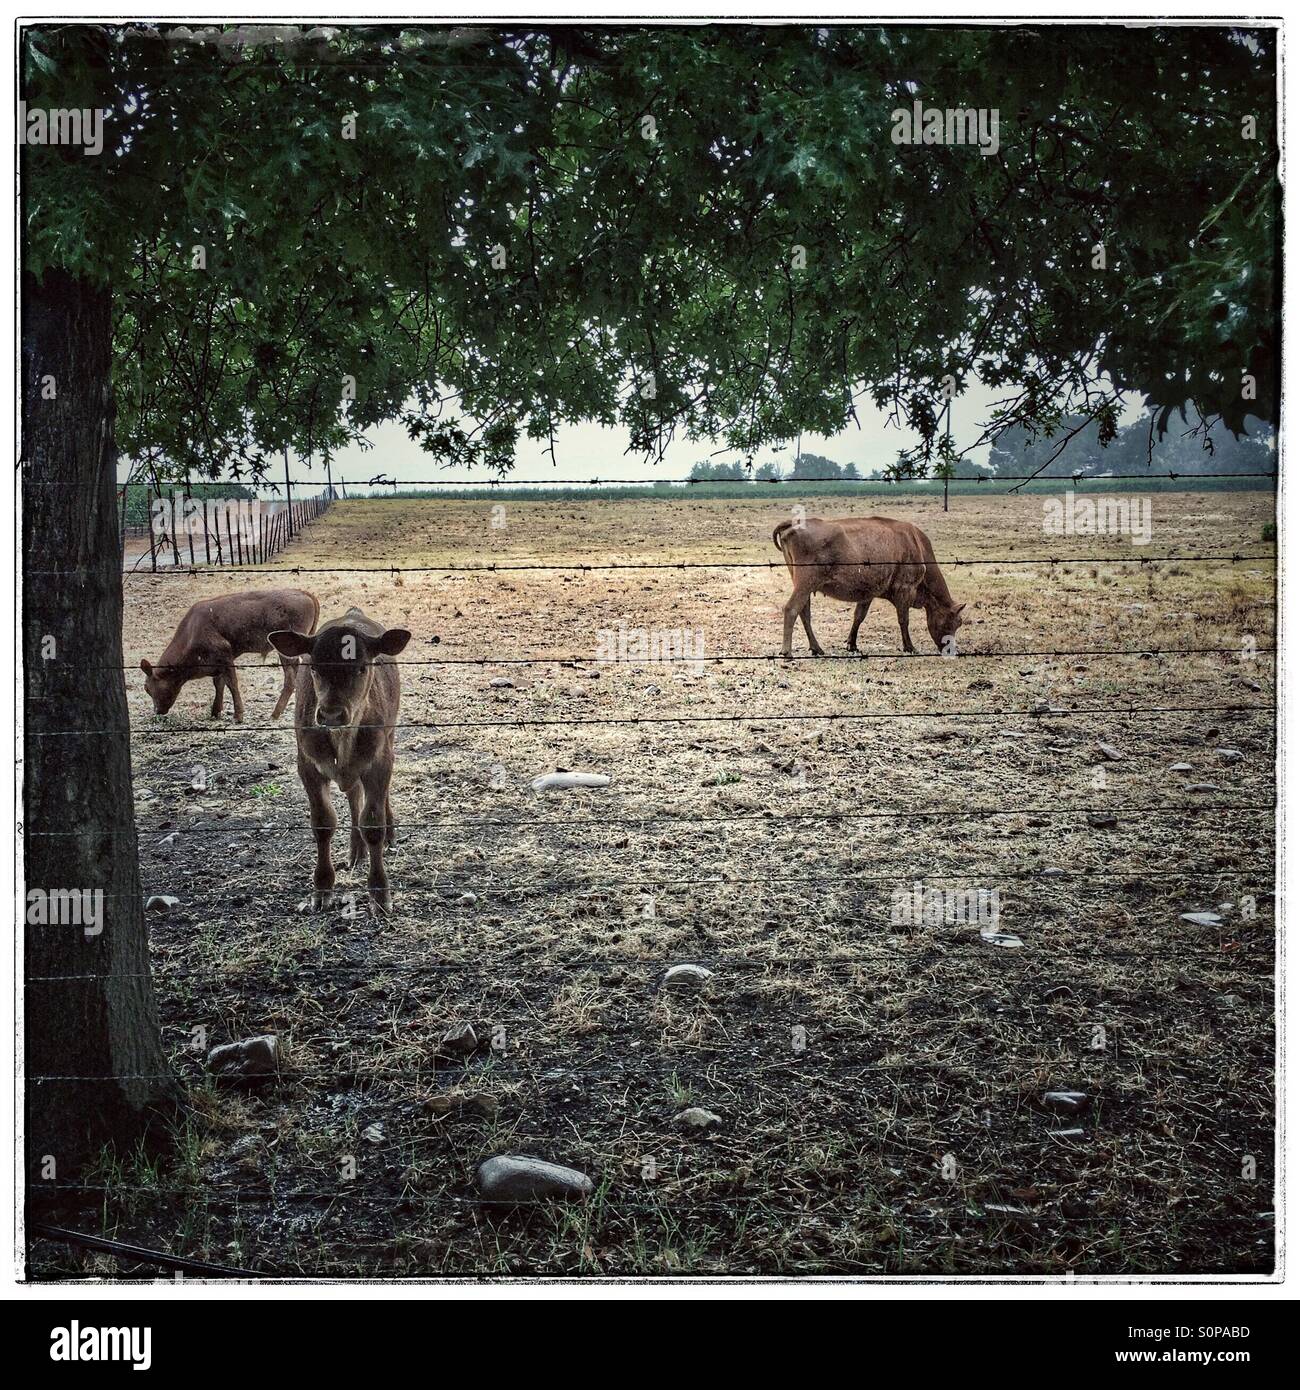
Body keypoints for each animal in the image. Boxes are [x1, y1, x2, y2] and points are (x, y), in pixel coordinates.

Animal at [140, 588, 320, 722]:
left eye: (147, 688)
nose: (157, 711)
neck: (192, 631)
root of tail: (304, 593)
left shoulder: (226, 657)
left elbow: (232, 684)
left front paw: (238, 715)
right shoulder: (217, 664)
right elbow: (219, 684)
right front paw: (215, 711)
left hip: (286, 653)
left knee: (290, 680)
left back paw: (275, 713)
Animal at [268, 608, 412, 916]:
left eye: (361, 668)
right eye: (314, 668)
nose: (331, 714)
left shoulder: (379, 761)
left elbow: (373, 824)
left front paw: (380, 893)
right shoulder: (307, 764)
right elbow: (323, 823)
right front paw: (322, 888)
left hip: (391, 736)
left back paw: (388, 835)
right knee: (354, 795)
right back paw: (355, 852)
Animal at [773, 516, 966, 657]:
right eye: (952, 622)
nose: (950, 650)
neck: (917, 545)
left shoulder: (868, 594)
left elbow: (859, 617)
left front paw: (852, 644)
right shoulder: (905, 589)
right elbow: (904, 620)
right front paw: (909, 647)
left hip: (802, 584)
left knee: (804, 613)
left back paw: (817, 648)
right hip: (805, 583)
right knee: (791, 609)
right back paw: (787, 652)